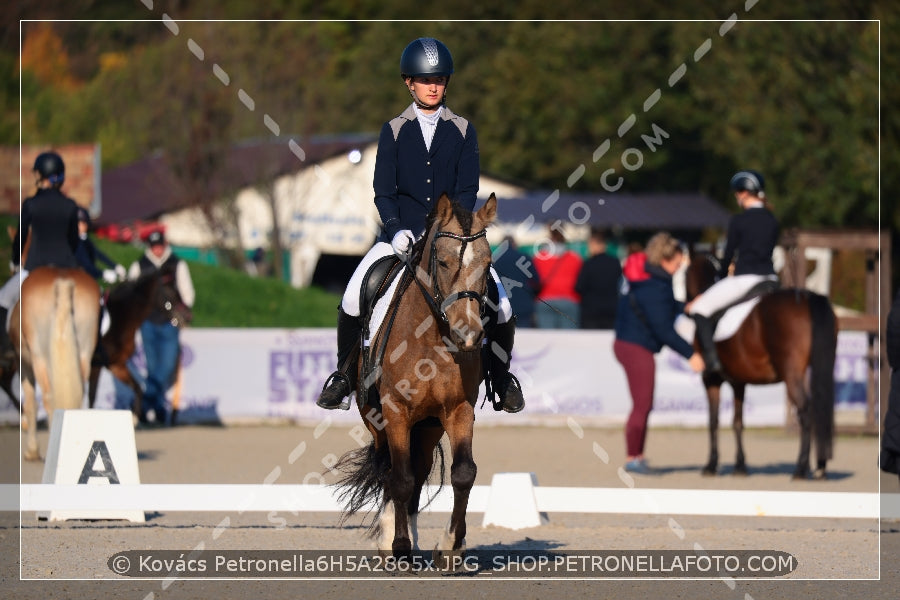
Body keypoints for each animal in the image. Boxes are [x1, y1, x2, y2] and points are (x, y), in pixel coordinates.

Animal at [11, 268, 100, 460]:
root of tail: (63, 282)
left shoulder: (25, 366)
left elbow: (30, 405)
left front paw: (32, 451)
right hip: (84, 355)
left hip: (40, 359)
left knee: (48, 398)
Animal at [334, 193, 496, 564]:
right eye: (444, 262)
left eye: (488, 262)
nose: (468, 334)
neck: (432, 336)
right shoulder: (395, 412)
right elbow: (400, 478)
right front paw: (399, 547)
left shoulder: (459, 410)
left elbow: (463, 474)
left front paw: (450, 547)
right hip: (377, 419)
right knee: (391, 469)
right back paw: (389, 538)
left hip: (428, 424)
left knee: (419, 469)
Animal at [688, 251, 836, 480]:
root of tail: (807, 297)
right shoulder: (738, 382)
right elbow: (738, 422)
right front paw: (740, 466)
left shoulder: (710, 379)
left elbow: (713, 421)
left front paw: (711, 465)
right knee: (820, 408)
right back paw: (819, 468)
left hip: (792, 375)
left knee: (805, 410)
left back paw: (800, 468)